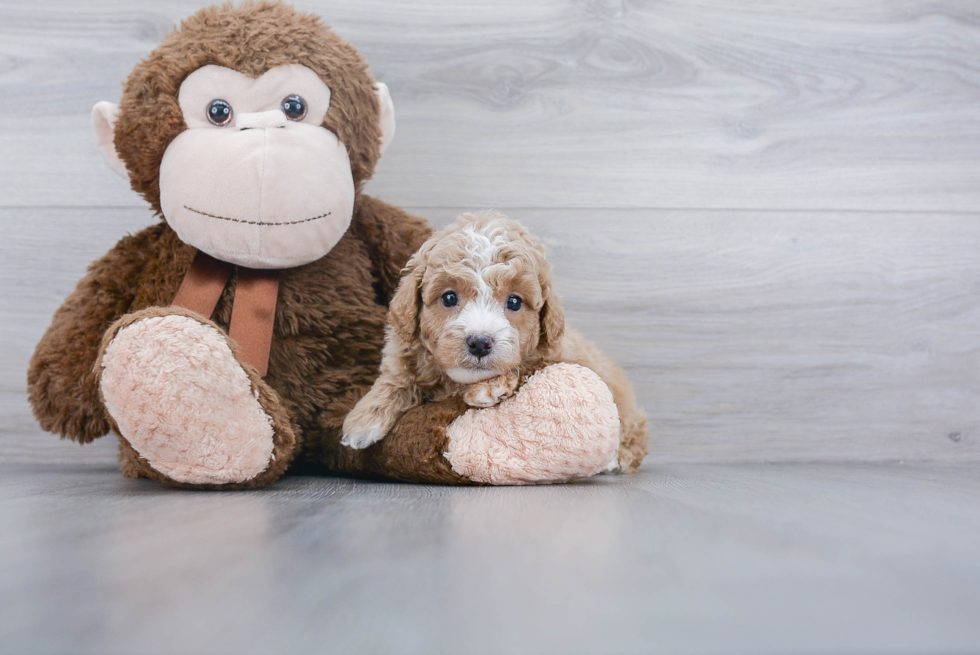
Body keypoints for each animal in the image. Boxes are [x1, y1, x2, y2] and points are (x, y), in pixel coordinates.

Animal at [340, 213, 648, 474]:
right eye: (449, 297)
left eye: (514, 302)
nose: (479, 343)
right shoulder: (406, 351)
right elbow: (396, 378)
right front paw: (363, 420)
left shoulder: (553, 354)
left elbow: (524, 365)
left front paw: (490, 387)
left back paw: (616, 459)